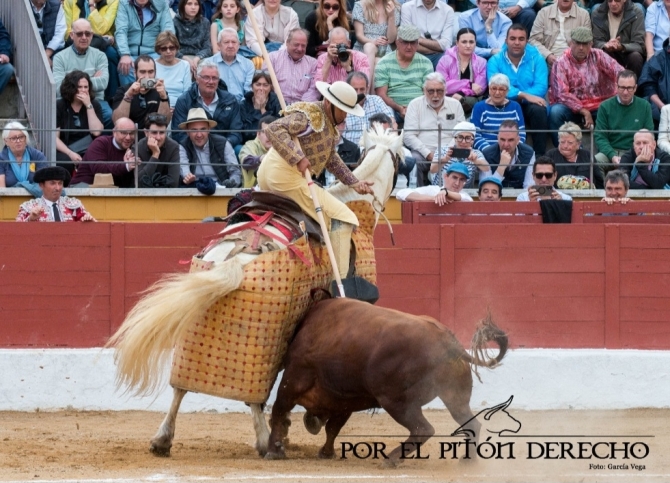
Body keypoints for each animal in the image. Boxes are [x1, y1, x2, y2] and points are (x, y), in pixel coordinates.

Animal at [106, 126, 405, 457]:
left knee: (181, 386)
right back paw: (266, 443)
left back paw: (162, 440)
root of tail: (236, 258)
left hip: (198, 331)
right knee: (253, 397)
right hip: (267, 336)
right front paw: (307, 422)